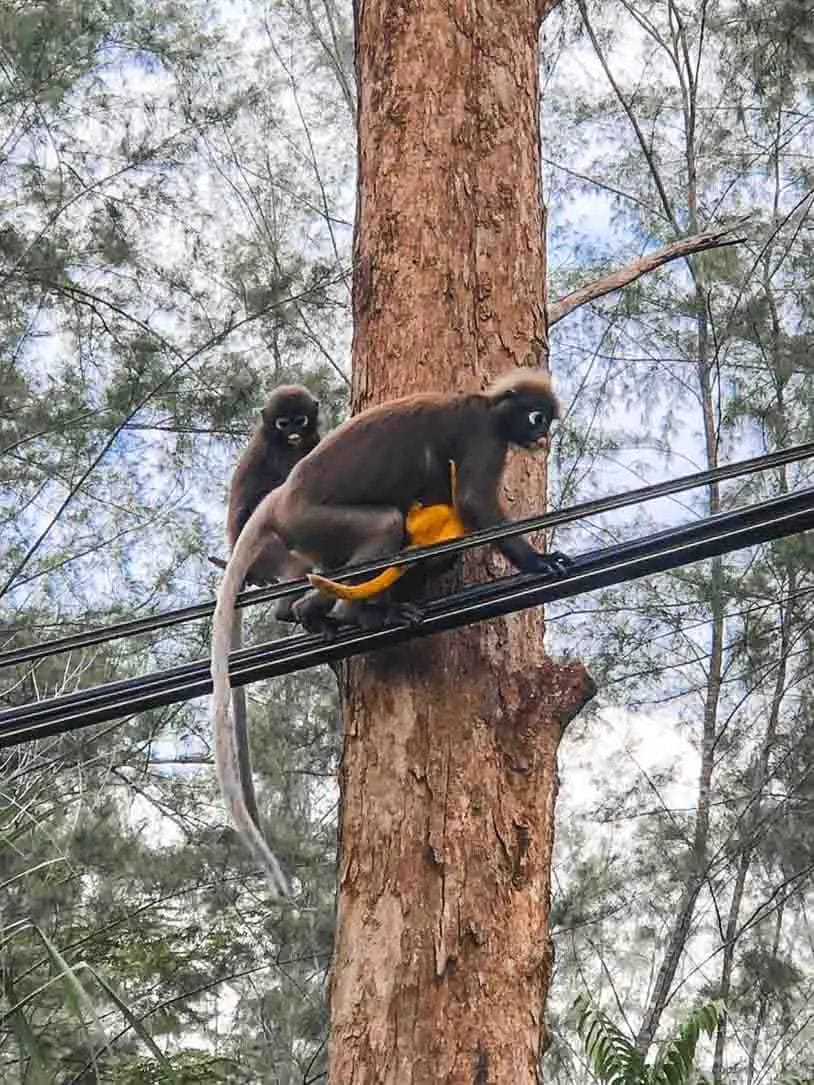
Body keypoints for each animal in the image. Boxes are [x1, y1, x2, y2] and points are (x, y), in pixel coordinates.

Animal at [210, 368, 568, 894]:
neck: (485, 405)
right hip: (314, 523)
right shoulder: (482, 436)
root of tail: (278, 502)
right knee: (384, 524)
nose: (543, 435)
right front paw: (538, 562)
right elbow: (474, 505)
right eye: (537, 417)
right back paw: (335, 612)